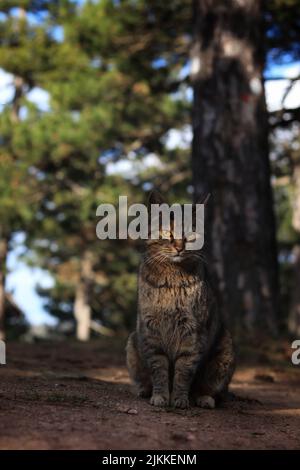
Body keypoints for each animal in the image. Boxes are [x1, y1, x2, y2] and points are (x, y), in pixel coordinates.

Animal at [126, 191, 234, 408]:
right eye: (168, 233)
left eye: (191, 236)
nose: (179, 248)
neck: (172, 279)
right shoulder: (151, 333)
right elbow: (158, 370)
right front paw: (160, 396)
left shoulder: (192, 334)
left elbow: (183, 372)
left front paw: (179, 398)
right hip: (132, 343)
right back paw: (143, 390)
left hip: (226, 352)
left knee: (212, 389)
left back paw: (204, 398)